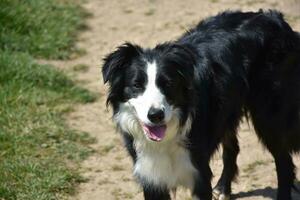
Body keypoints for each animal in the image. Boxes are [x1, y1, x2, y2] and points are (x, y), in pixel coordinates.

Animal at [102, 10, 300, 200]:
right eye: (136, 85)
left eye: (168, 84)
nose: (156, 115)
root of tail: (275, 18)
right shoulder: (151, 177)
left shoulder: (199, 172)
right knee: (233, 148)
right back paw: (223, 189)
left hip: (268, 114)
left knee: (284, 162)